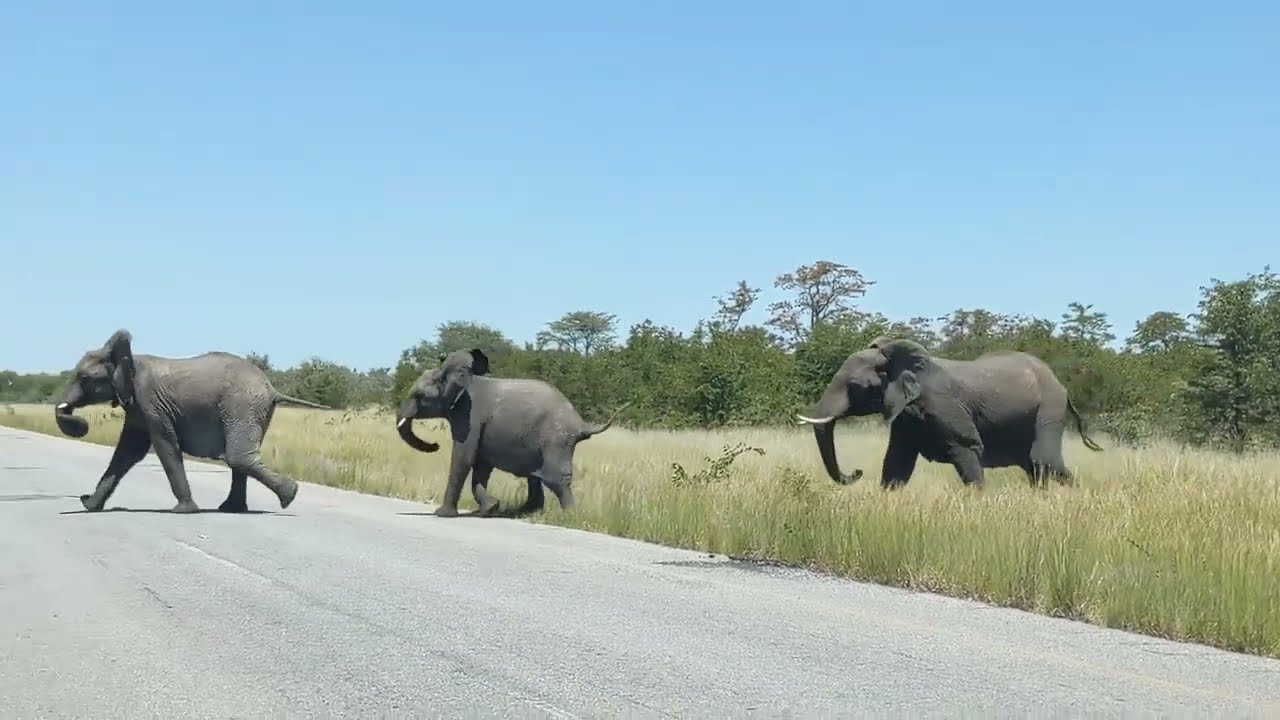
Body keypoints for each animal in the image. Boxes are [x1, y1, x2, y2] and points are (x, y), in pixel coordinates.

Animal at [54, 329, 331, 513]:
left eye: (84, 378)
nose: (81, 422)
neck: (129, 358)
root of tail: (271, 388)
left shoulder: (151, 403)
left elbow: (165, 447)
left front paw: (184, 510)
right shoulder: (137, 408)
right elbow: (127, 452)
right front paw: (89, 504)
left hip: (243, 405)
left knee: (238, 457)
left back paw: (288, 496)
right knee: (239, 458)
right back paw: (235, 508)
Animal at [395, 347, 630, 518]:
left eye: (419, 396)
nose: (435, 445)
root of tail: (581, 423)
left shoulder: (470, 416)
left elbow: (464, 457)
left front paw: (443, 514)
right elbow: (481, 465)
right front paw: (489, 509)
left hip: (556, 440)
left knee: (555, 478)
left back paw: (570, 516)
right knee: (535, 476)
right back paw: (526, 512)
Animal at [795, 336, 1104, 490]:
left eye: (855, 386)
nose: (857, 472)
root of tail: (1062, 386)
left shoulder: (944, 408)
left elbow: (968, 452)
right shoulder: (908, 415)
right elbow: (896, 463)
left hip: (1048, 410)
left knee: (1044, 462)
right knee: (1036, 467)